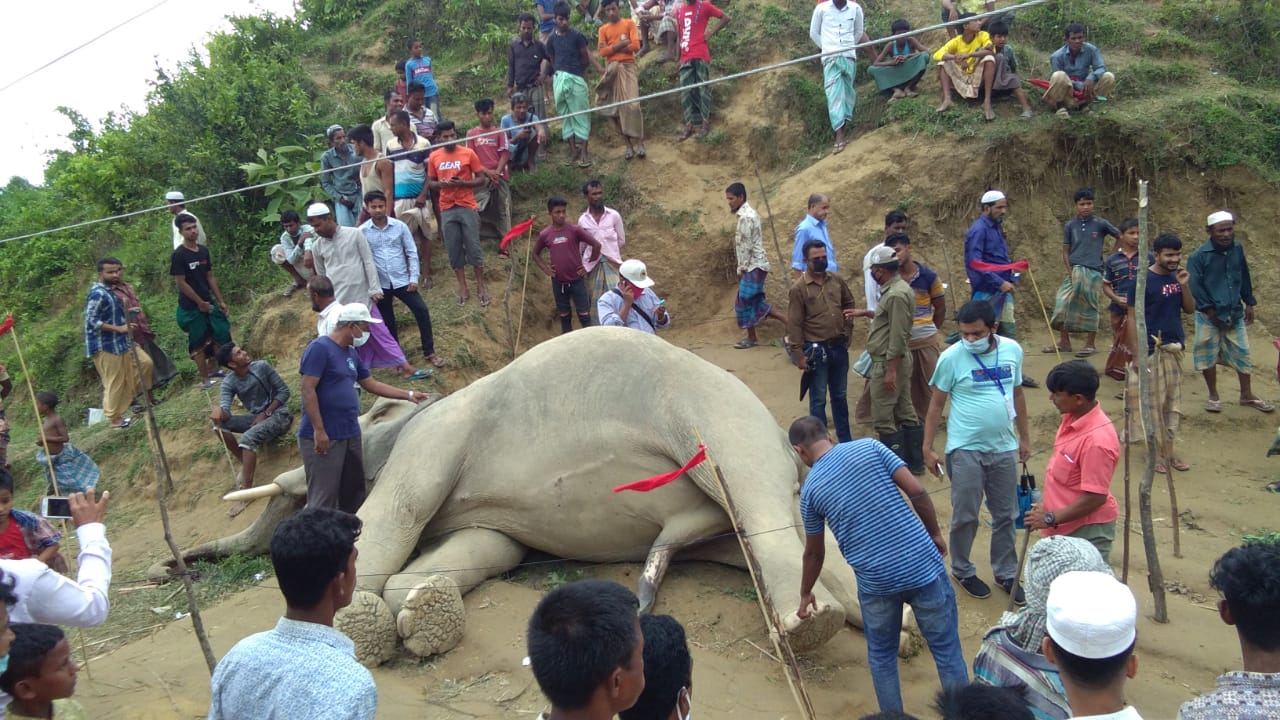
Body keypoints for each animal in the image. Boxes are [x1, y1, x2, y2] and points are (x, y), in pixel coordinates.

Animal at [160, 325, 916, 661]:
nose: (171, 564)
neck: (412, 408)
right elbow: (489, 546)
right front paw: (420, 614)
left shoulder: (432, 438)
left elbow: (398, 508)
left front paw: (358, 628)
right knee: (790, 534)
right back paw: (898, 632)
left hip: (719, 418)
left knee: (759, 506)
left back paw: (808, 627)